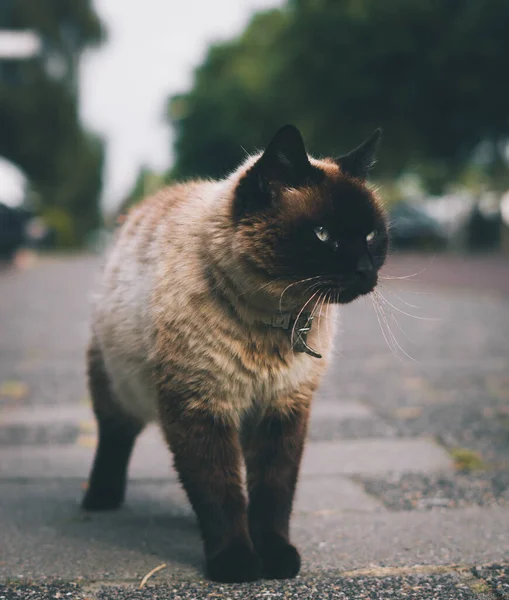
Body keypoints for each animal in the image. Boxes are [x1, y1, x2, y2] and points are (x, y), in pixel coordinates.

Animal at [81, 125, 386, 580]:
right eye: (322, 235)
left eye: (370, 236)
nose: (366, 271)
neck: (276, 321)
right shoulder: (200, 408)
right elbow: (220, 492)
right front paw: (237, 563)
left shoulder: (282, 409)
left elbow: (272, 493)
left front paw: (276, 556)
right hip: (116, 386)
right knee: (115, 437)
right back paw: (100, 499)